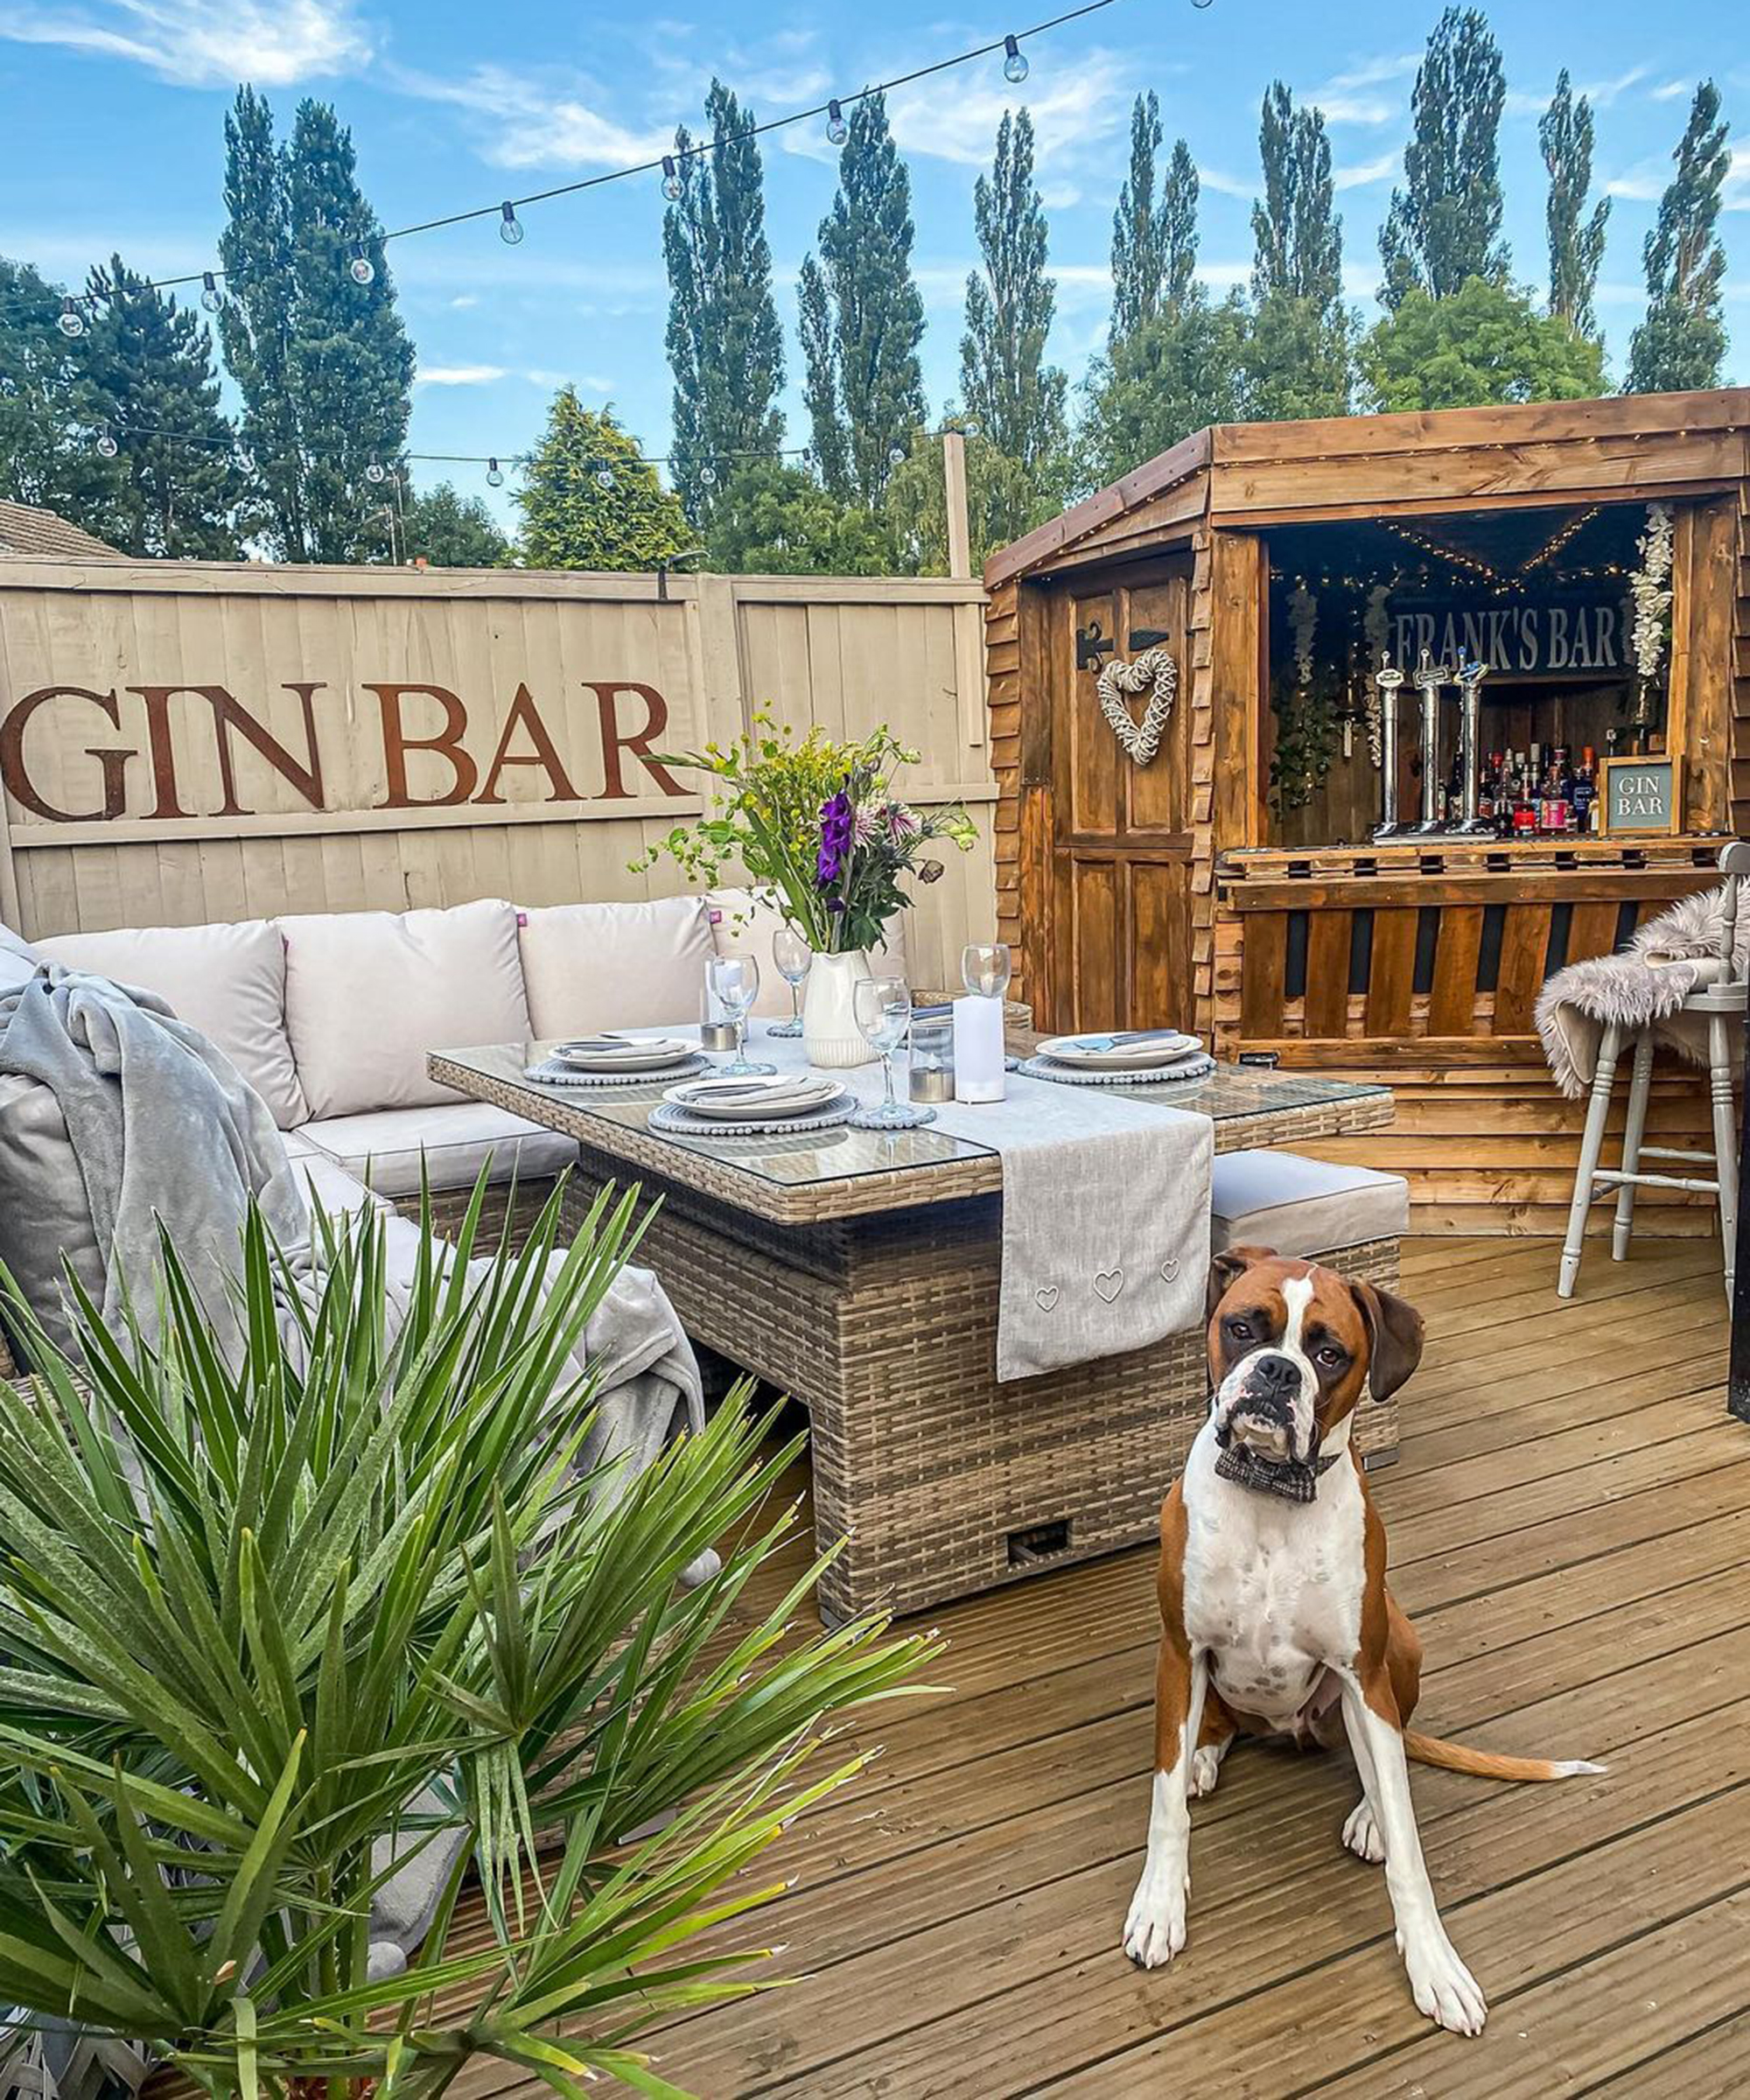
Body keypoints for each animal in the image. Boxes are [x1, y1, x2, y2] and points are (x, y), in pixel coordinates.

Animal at [1125, 1242, 1605, 2033]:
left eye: (1328, 1354)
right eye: (1243, 1328)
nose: (1277, 1372)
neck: (1271, 1497)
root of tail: (1288, 1729)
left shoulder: (1362, 1672)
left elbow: (1409, 1843)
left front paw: (1434, 1962)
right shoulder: (1178, 1649)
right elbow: (1165, 1806)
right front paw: (1160, 1904)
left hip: (1398, 1643)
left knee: (1382, 1754)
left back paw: (1367, 1815)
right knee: (1220, 1725)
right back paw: (1204, 1752)